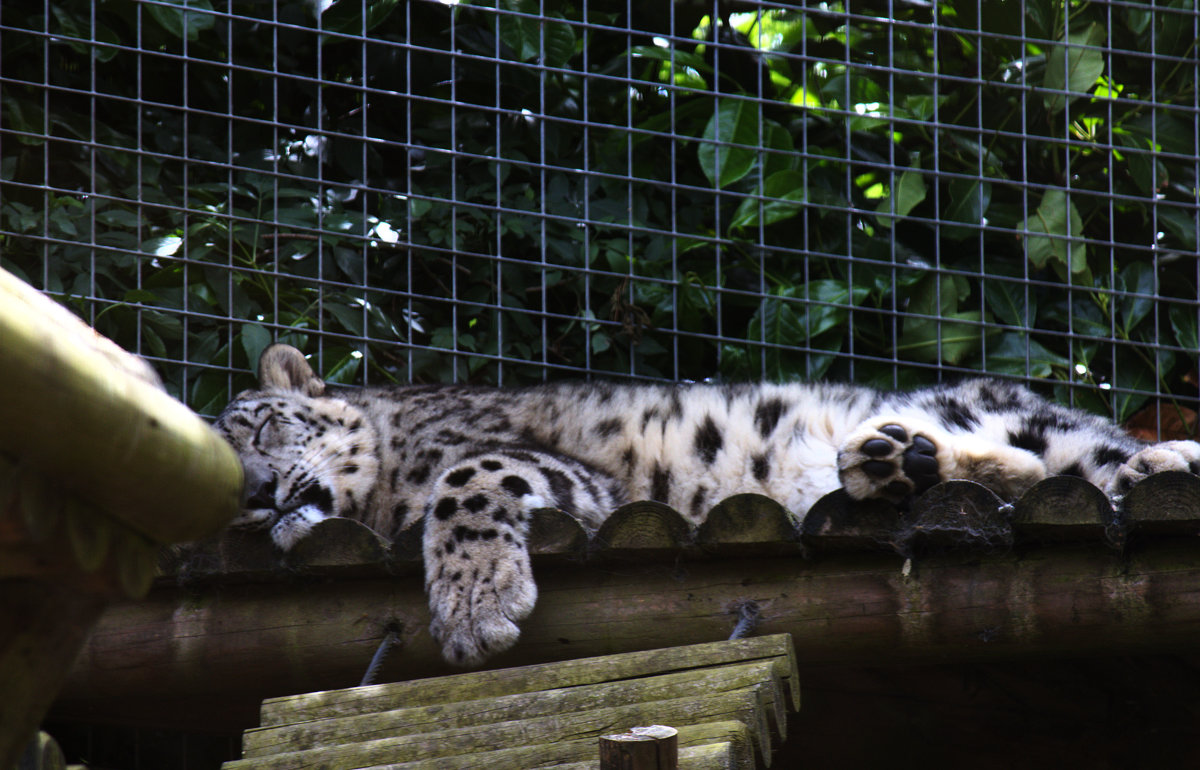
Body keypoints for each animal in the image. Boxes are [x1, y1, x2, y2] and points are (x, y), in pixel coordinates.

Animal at [211, 345, 1200, 662]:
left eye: (257, 427)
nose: (258, 497)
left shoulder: (531, 463)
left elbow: (467, 485)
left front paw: (472, 608)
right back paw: (891, 462)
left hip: (1025, 415)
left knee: (1076, 452)